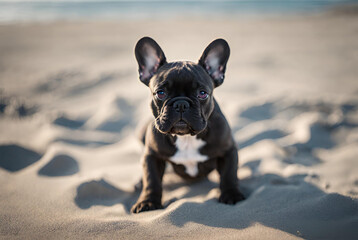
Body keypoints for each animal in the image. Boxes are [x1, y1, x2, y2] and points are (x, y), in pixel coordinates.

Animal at [132, 37, 246, 214]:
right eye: (160, 93)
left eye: (202, 93)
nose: (181, 104)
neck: (186, 138)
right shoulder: (152, 155)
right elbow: (151, 180)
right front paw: (148, 201)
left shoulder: (228, 150)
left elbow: (229, 174)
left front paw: (231, 194)